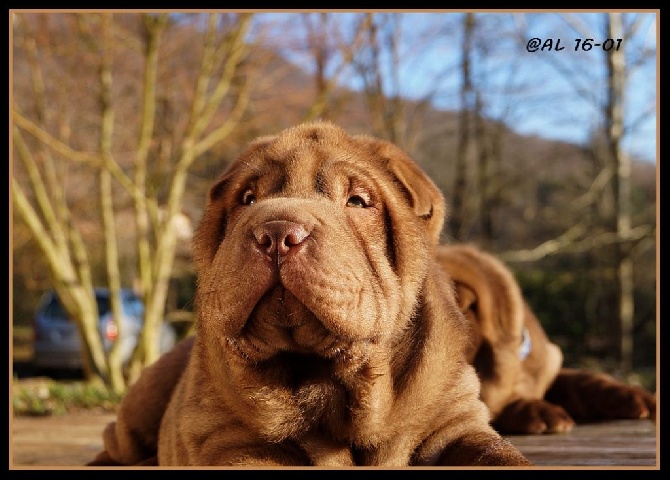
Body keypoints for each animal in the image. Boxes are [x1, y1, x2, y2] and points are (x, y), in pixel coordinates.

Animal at [88, 122, 532, 466]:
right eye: (248, 199)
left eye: (358, 201)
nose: (276, 232)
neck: (327, 383)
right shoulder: (232, 441)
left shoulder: (455, 422)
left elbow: (498, 455)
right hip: (144, 399)